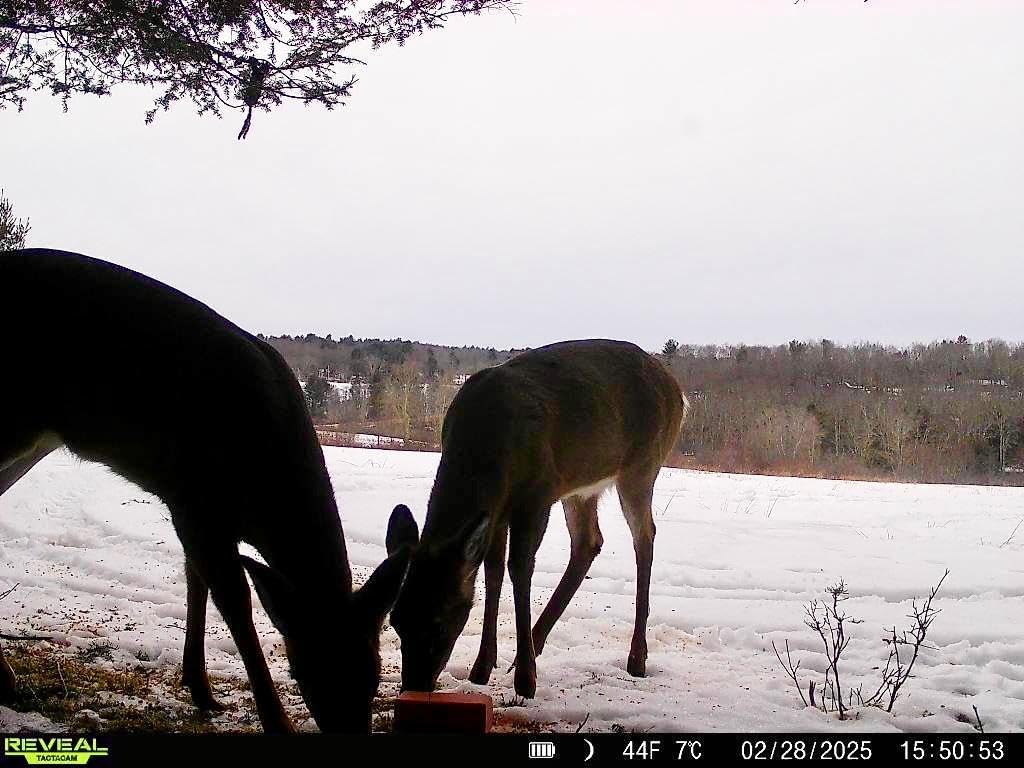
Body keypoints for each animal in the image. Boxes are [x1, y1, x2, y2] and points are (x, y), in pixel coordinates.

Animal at [0, 248, 413, 733]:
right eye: (305, 674)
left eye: (375, 678)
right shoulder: (195, 500)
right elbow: (234, 602)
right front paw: (275, 722)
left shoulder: (196, 510)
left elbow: (194, 578)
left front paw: (199, 686)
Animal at [386, 339, 688, 699]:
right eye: (396, 620)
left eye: (442, 621)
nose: (414, 686)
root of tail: (677, 391)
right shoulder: (500, 508)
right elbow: (493, 570)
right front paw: (483, 666)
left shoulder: (538, 493)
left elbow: (520, 568)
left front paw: (526, 681)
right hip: (580, 487)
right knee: (589, 541)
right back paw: (534, 643)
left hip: (642, 465)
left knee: (644, 537)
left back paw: (636, 658)